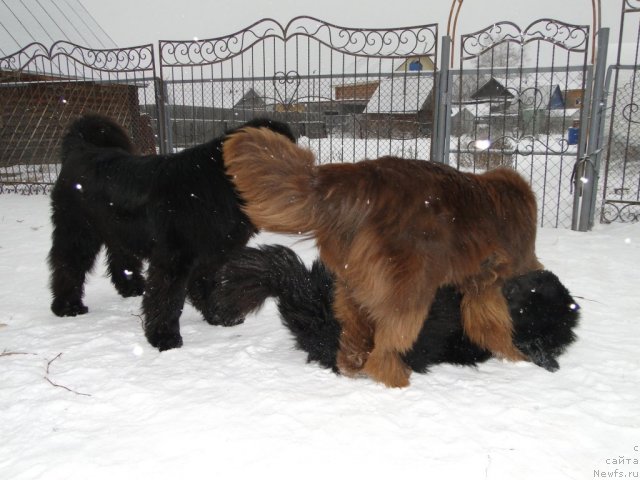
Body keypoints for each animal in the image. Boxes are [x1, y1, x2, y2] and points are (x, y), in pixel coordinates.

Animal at [48, 114, 296, 350]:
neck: (221, 185)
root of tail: (80, 148)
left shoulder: (212, 255)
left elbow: (208, 287)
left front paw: (219, 316)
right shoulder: (173, 257)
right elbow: (167, 298)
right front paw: (164, 337)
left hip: (119, 231)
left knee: (120, 256)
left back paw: (132, 287)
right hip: (78, 232)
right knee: (68, 265)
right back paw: (68, 306)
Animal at [222, 129, 544, 388]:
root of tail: (363, 180)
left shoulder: (481, 286)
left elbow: (489, 324)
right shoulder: (490, 281)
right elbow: (494, 322)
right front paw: (516, 355)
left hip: (352, 285)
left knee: (354, 339)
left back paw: (353, 366)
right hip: (410, 289)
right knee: (386, 346)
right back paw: (396, 379)